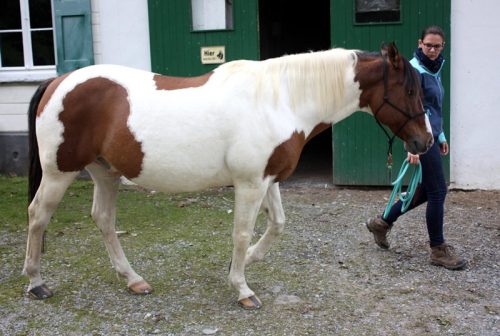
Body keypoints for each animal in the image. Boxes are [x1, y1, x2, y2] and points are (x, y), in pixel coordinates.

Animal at [24, 43, 434, 308]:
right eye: (409, 88)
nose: (426, 141)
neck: (280, 99)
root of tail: (58, 81)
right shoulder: (249, 183)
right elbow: (241, 232)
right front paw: (242, 288)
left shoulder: (269, 179)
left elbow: (277, 225)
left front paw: (248, 262)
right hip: (59, 172)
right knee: (38, 216)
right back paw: (36, 282)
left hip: (105, 173)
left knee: (104, 220)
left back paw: (134, 280)